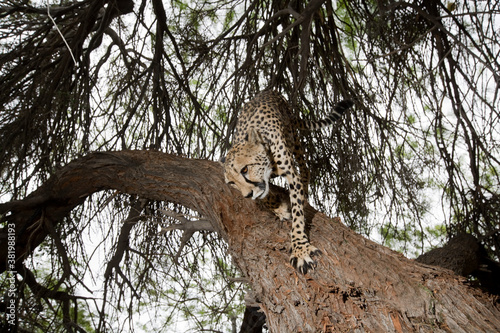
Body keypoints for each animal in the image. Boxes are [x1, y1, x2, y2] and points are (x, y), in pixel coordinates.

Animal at [223, 90, 352, 272]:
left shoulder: (291, 174)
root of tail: (269, 91)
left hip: (293, 138)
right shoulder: (263, 184)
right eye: (232, 183)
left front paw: (299, 249)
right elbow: (265, 195)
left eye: (245, 170)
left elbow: (297, 213)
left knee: (305, 167)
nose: (247, 195)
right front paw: (280, 209)